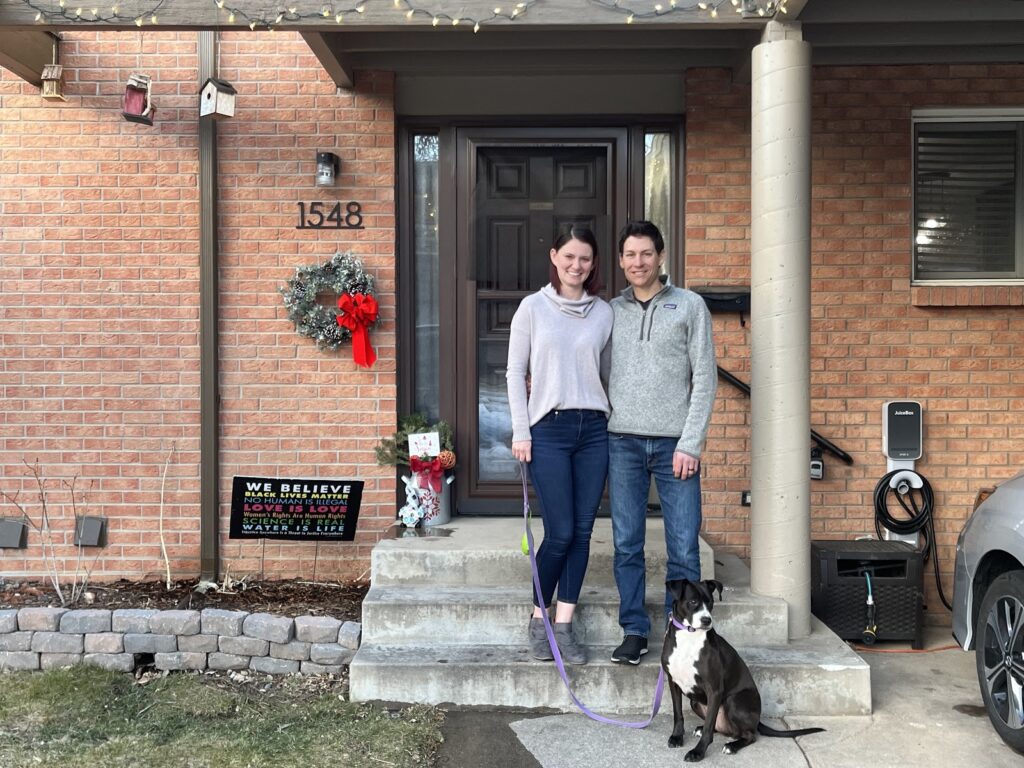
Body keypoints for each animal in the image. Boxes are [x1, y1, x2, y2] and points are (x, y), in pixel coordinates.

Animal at [663, 581, 823, 761]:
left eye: (710, 602)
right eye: (692, 602)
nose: (706, 620)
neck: (689, 637)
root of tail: (757, 720)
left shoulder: (714, 689)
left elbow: (708, 728)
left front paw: (698, 751)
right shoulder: (673, 682)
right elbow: (678, 714)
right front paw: (677, 737)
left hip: (733, 701)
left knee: (748, 734)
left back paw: (732, 746)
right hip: (696, 702)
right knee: (720, 726)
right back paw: (703, 729)